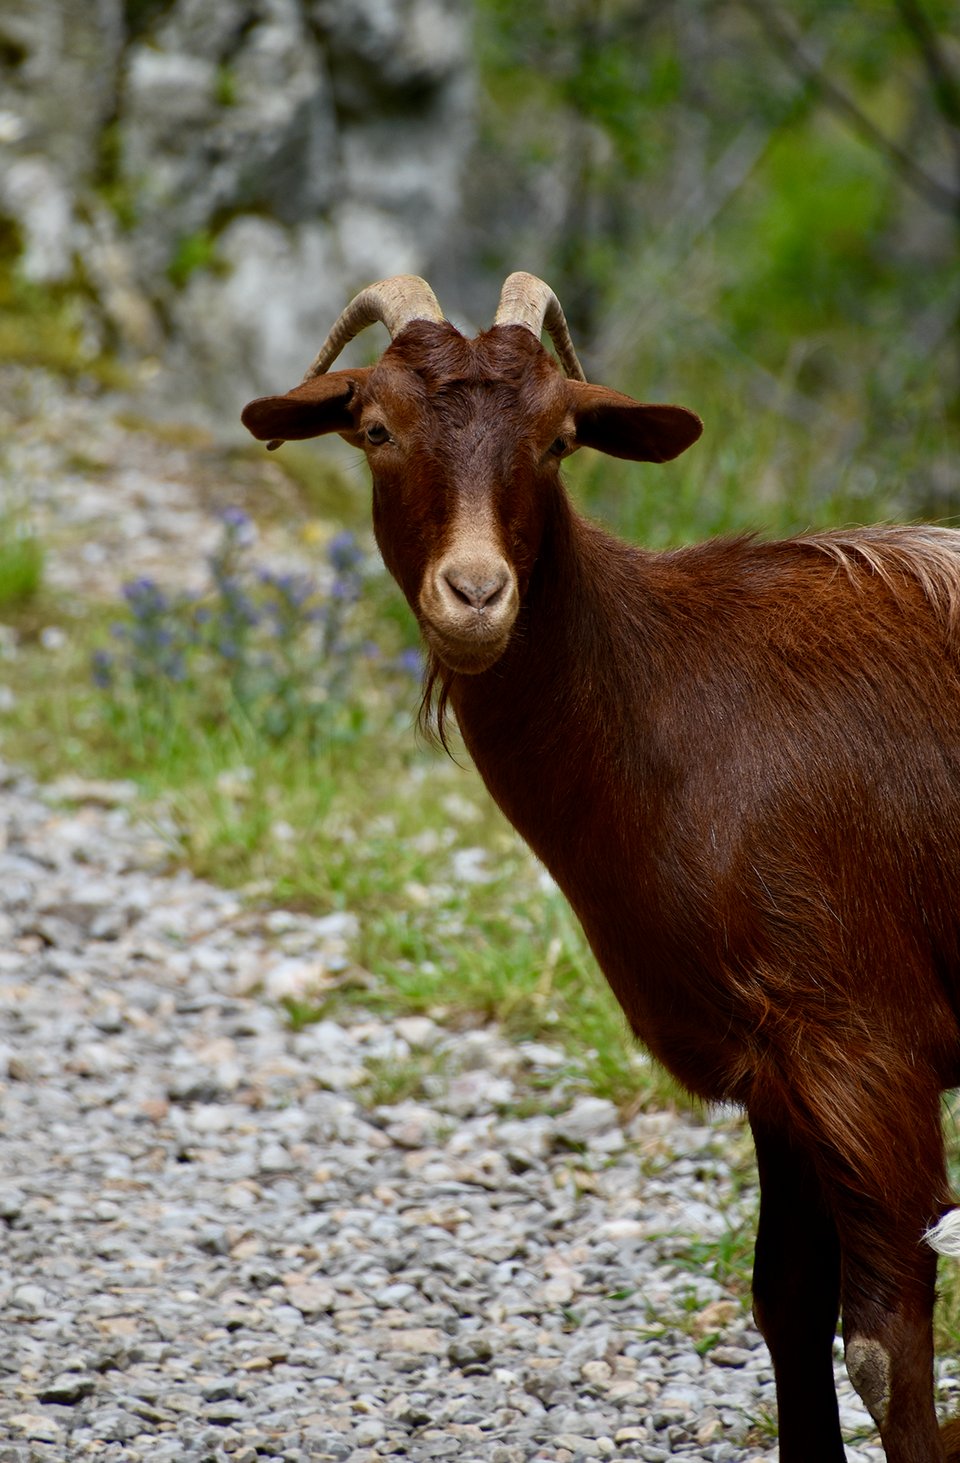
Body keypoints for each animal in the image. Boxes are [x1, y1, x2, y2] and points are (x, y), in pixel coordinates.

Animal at [242, 272, 960, 1462]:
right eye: (376, 428)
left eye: (558, 438)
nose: (476, 593)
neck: (670, 693)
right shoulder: (777, 1066)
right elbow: (787, 1301)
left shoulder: (868, 1040)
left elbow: (888, 1349)